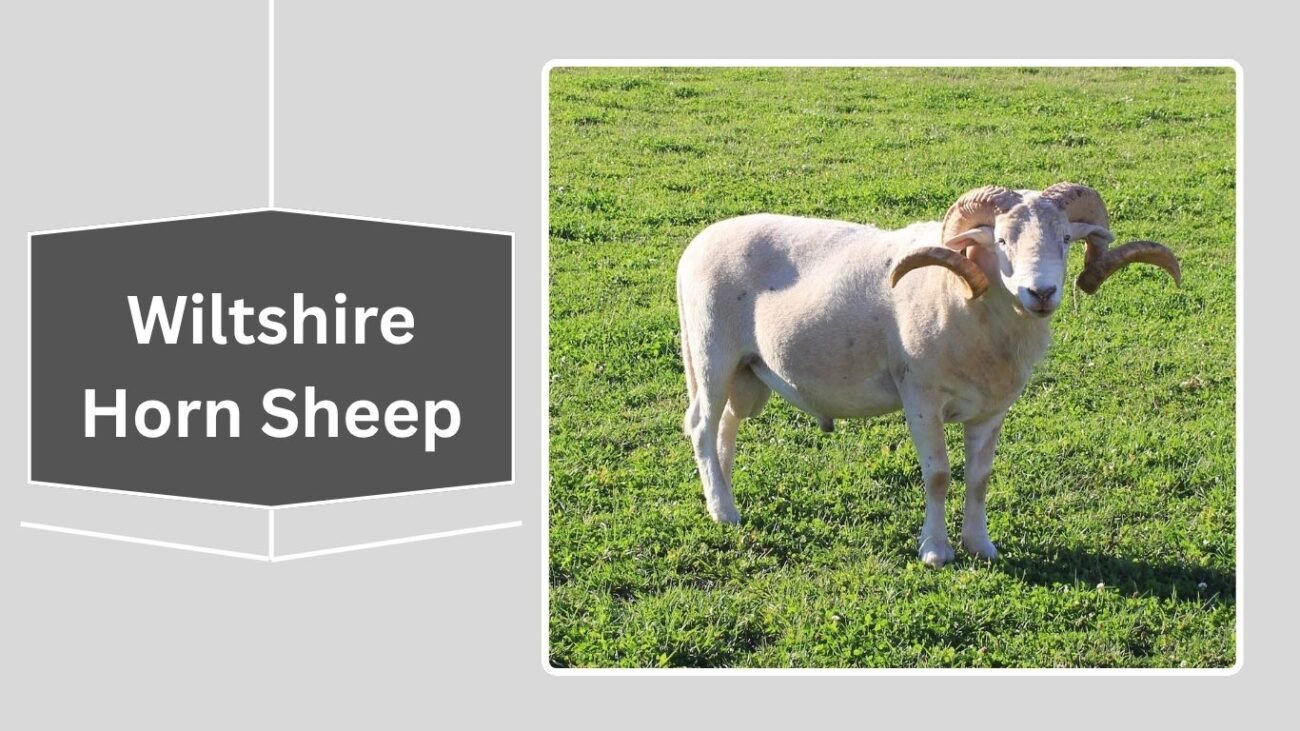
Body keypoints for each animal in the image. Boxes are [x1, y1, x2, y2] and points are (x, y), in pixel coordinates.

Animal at [675, 183, 1180, 567]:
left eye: (1065, 240)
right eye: (1001, 242)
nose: (1041, 292)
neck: (968, 304)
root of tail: (696, 245)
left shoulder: (992, 411)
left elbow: (980, 478)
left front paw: (980, 545)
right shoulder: (921, 398)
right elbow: (938, 475)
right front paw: (936, 551)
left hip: (748, 373)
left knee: (726, 428)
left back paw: (721, 498)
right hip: (711, 353)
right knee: (701, 426)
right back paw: (724, 513)